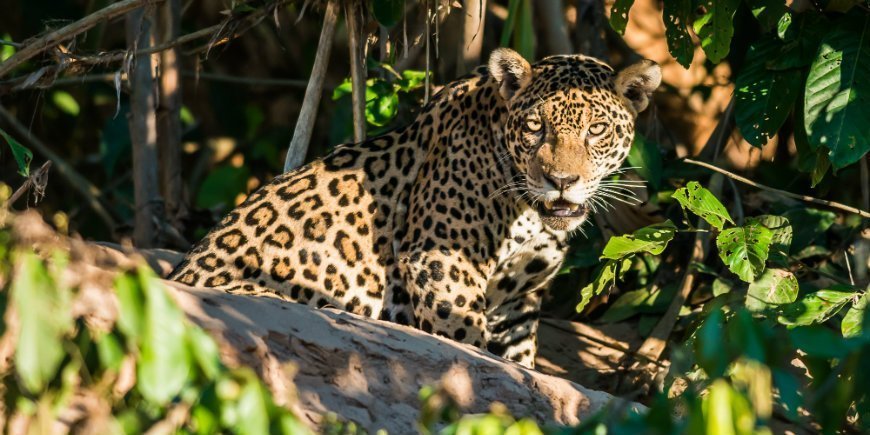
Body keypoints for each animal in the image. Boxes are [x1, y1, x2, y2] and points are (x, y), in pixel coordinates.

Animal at [170, 48, 661, 368]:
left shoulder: (519, 301)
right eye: (535, 127)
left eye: (596, 130)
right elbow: (465, 341)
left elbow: (520, 365)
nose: (561, 182)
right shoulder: (441, 260)